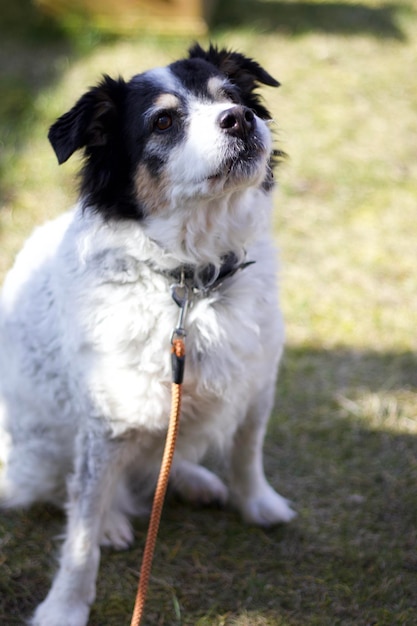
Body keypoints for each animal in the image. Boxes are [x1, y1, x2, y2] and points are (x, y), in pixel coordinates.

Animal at [0, 45, 294, 624]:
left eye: (231, 96)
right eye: (163, 122)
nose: (240, 119)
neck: (193, 280)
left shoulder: (256, 383)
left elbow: (247, 452)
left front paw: (258, 504)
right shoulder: (105, 426)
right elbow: (81, 530)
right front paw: (65, 607)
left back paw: (196, 481)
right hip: (40, 451)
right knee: (77, 491)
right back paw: (116, 519)